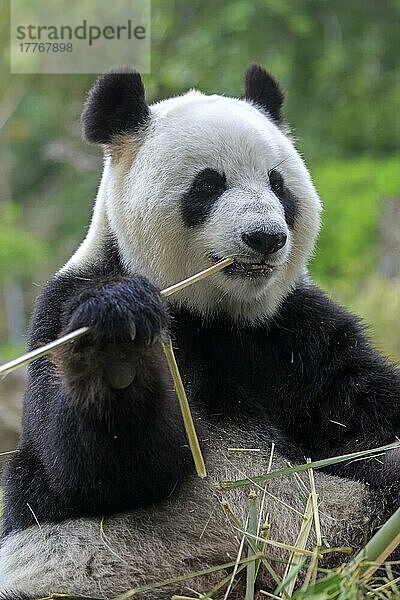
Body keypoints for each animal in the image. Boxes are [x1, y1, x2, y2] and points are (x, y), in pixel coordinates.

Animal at [0, 67, 400, 600]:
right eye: (209, 184)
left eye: (278, 184)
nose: (266, 238)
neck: (210, 313)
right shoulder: (64, 306)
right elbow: (87, 474)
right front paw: (119, 341)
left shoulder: (295, 330)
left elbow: (366, 416)